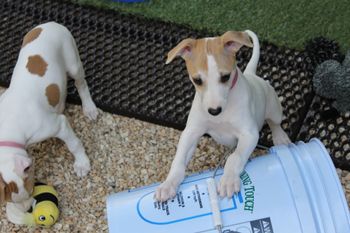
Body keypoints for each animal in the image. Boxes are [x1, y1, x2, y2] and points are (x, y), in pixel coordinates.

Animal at [0, 21, 98, 208]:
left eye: (30, 189)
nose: (28, 209)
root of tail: (51, 23)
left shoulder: (59, 125)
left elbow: (74, 144)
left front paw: (82, 164)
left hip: (73, 61)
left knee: (81, 84)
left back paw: (89, 108)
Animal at [155, 30, 290, 201]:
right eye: (197, 80)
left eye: (225, 77)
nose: (214, 111)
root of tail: (252, 75)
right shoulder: (191, 132)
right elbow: (178, 161)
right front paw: (168, 184)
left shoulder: (250, 134)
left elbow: (235, 158)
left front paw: (229, 180)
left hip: (274, 108)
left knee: (275, 123)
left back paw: (281, 138)